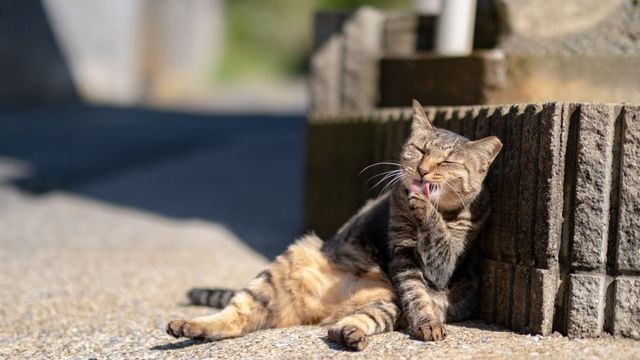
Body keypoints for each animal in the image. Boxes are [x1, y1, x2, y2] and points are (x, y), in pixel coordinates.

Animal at [166, 100, 504, 350]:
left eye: (446, 162)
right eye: (420, 151)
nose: (421, 170)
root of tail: (325, 310)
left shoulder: (445, 266)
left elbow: (431, 269)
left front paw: (429, 325)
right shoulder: (402, 252)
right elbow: (415, 290)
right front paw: (427, 325)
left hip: (388, 305)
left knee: (347, 325)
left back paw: (350, 334)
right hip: (281, 268)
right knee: (235, 317)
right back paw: (188, 325)